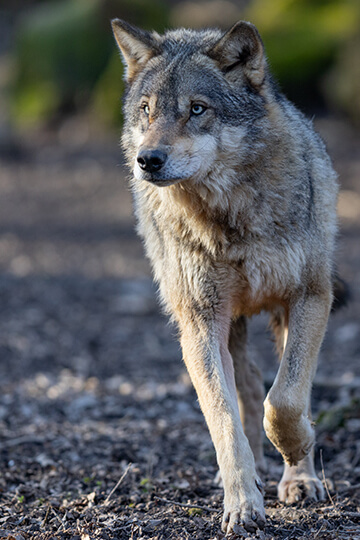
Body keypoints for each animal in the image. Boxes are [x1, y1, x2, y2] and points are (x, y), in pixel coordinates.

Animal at [111, 17, 338, 536]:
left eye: (197, 109)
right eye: (147, 111)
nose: (148, 160)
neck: (227, 219)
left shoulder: (310, 296)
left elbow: (287, 401)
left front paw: (299, 455)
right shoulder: (199, 322)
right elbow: (224, 416)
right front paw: (242, 503)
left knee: (272, 388)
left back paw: (297, 475)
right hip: (228, 323)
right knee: (248, 386)